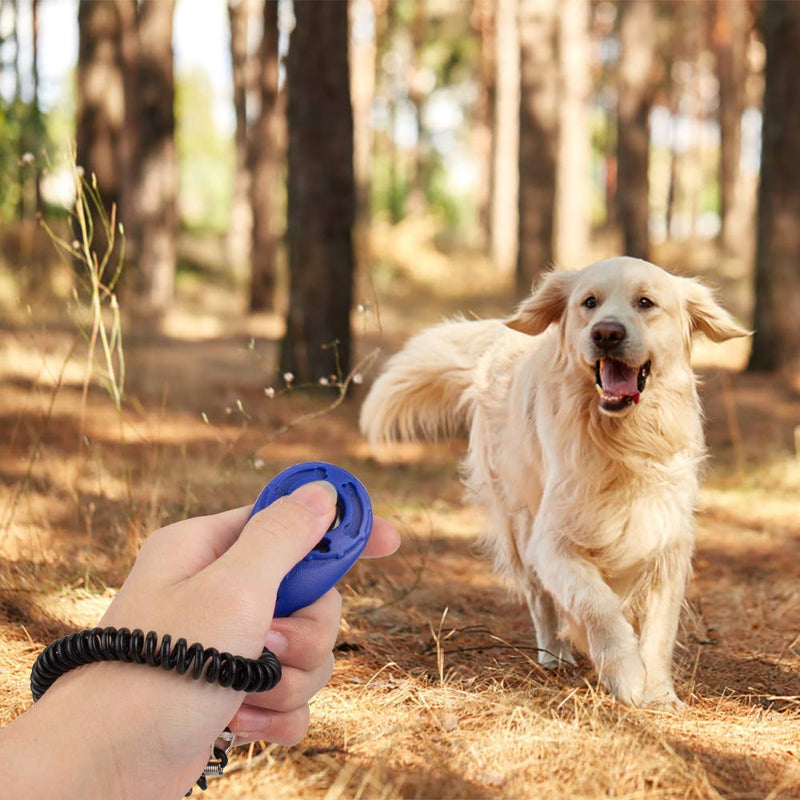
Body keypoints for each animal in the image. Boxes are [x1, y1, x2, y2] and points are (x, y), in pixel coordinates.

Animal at [360, 258, 748, 708]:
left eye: (646, 302)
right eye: (589, 303)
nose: (606, 333)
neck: (621, 441)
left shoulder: (666, 541)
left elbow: (659, 631)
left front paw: (659, 694)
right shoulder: (552, 541)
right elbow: (597, 604)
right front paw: (626, 674)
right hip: (518, 521)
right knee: (539, 597)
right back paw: (554, 654)